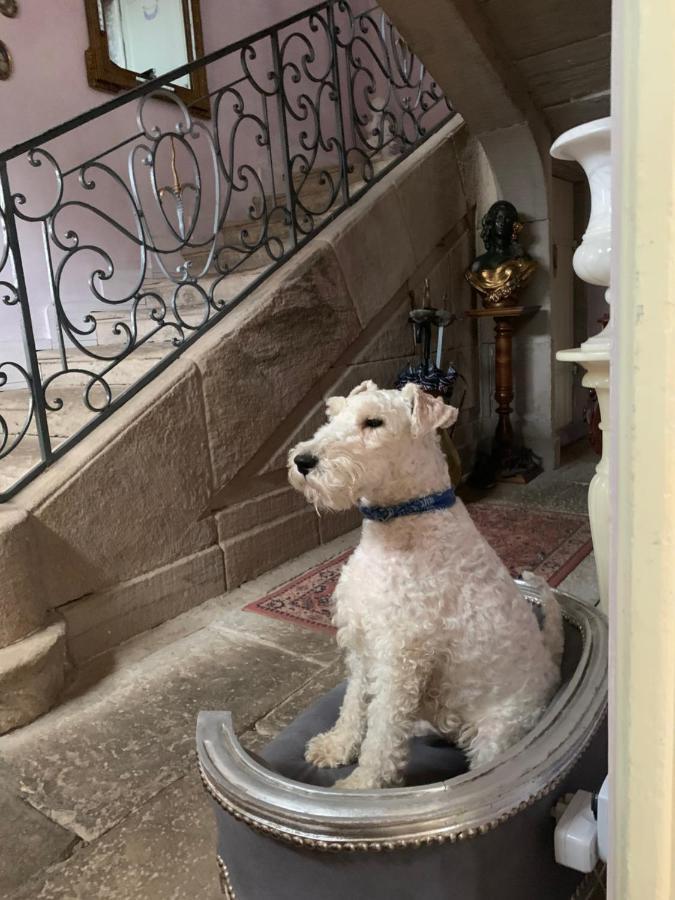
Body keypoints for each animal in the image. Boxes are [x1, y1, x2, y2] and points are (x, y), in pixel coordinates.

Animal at [286, 380, 564, 788]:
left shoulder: (399, 657)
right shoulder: (364, 643)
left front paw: (362, 783)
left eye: (374, 422)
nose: (303, 462)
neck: (404, 520)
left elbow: (382, 733)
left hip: (497, 733)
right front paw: (335, 747)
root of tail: (552, 671)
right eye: (333, 414)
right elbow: (354, 705)